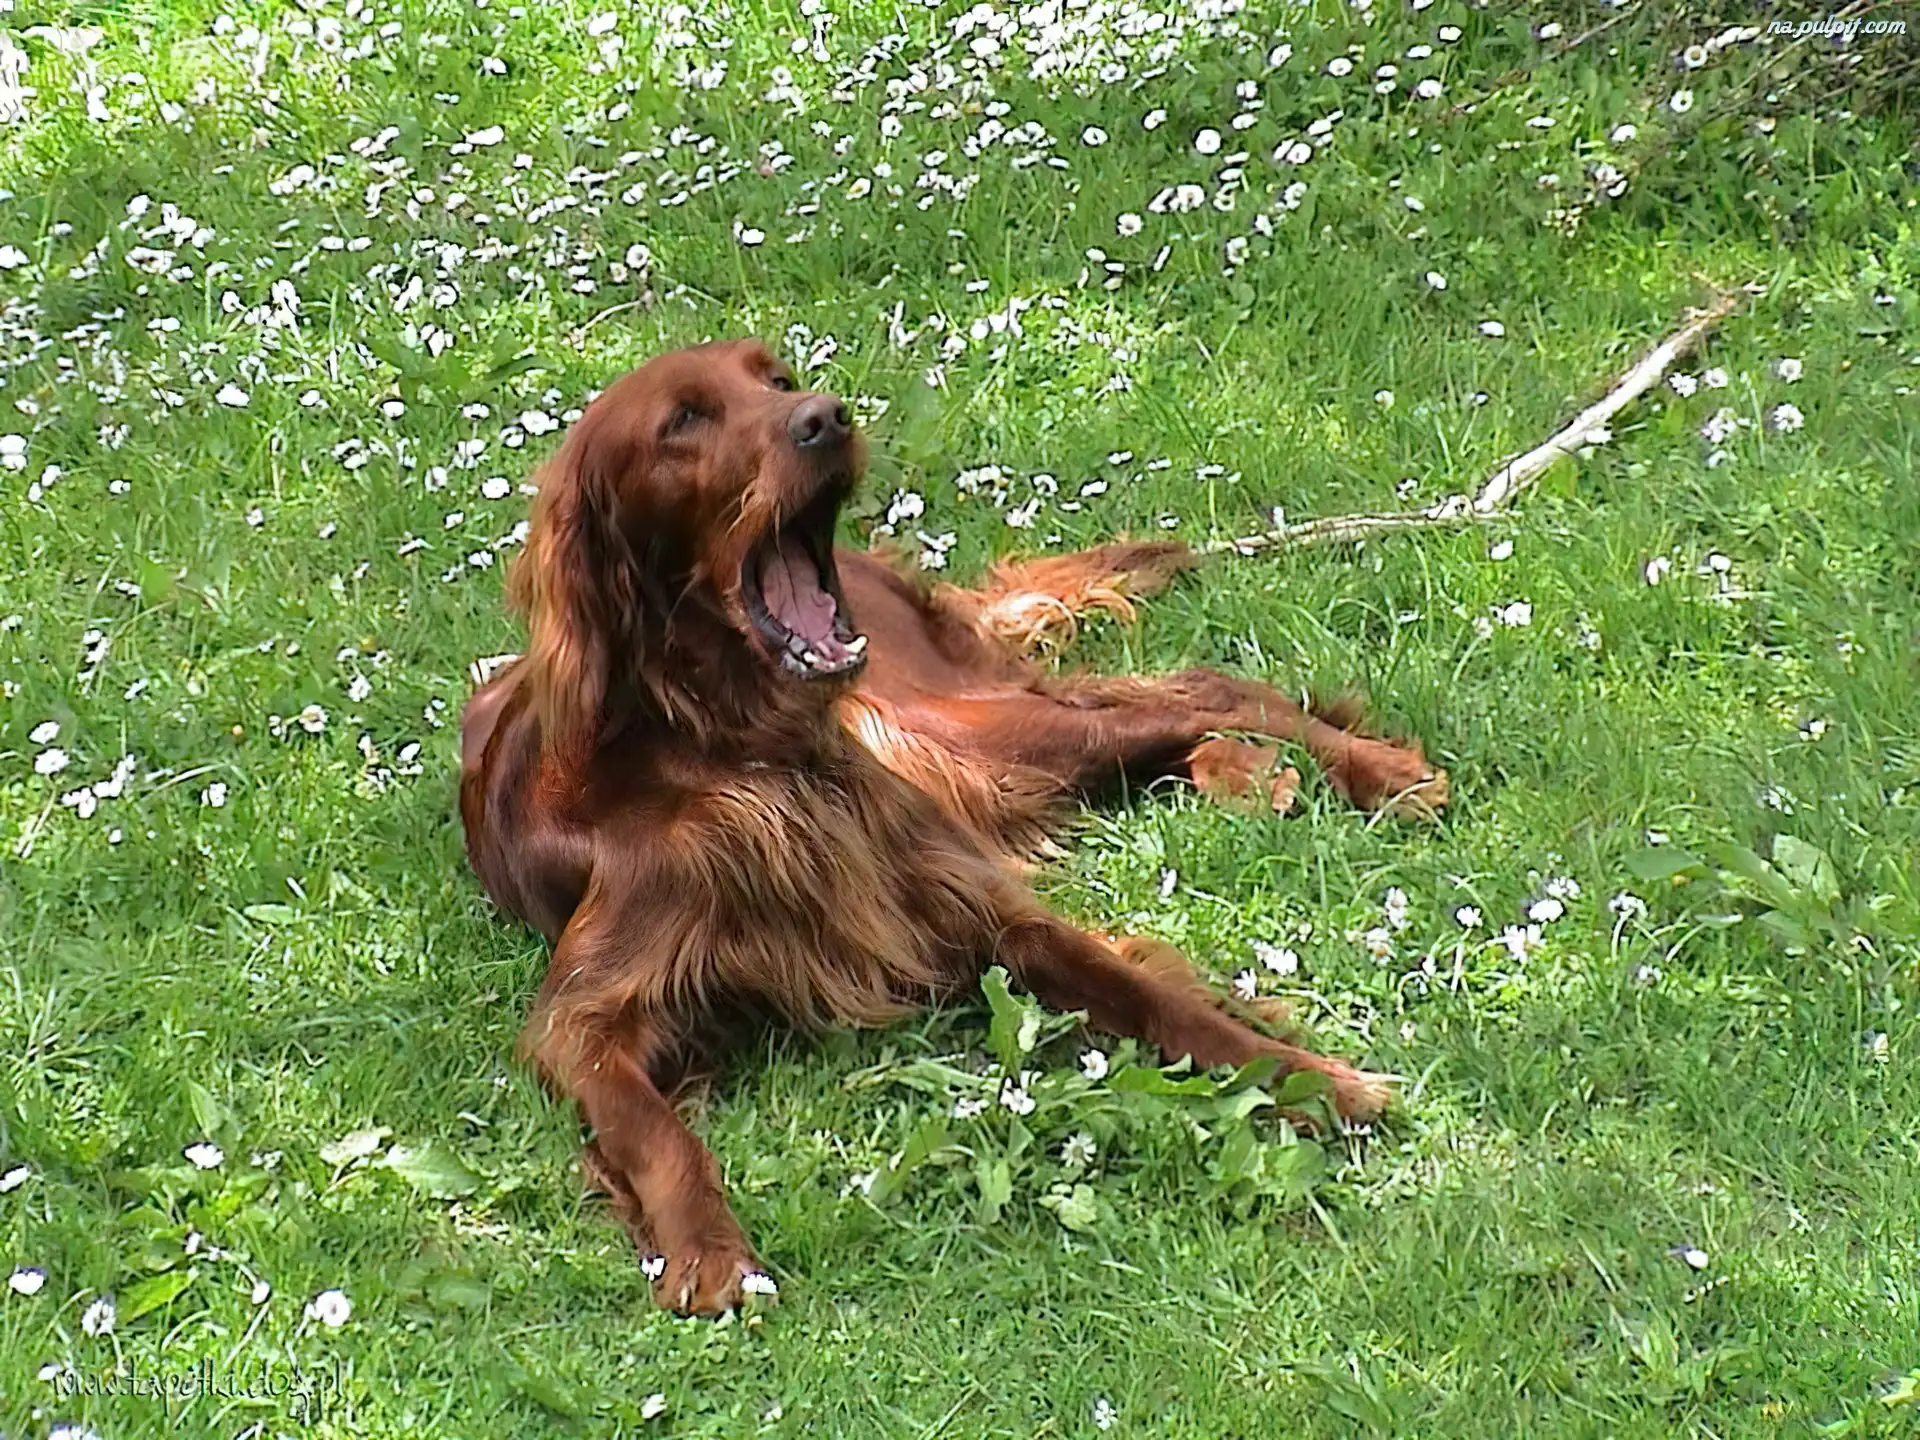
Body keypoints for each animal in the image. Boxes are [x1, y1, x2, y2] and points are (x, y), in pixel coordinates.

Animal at [459, 339, 1446, 1314]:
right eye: (684, 421)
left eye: (777, 379)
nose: (826, 417)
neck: (739, 753)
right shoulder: (585, 1018)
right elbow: (649, 1128)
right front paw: (706, 1247)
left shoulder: (972, 905)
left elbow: (1158, 999)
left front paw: (1314, 1079)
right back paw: (1252, 774)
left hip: (957, 729)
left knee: (1205, 690)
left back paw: (1378, 773)